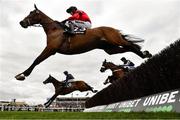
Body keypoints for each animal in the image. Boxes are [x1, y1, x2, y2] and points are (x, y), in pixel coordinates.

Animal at [15, 4, 152, 80]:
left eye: (32, 13)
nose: (22, 22)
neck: (54, 30)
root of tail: (113, 29)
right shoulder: (51, 49)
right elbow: (37, 60)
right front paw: (23, 73)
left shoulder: (51, 49)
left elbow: (37, 60)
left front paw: (23, 74)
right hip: (110, 49)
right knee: (129, 48)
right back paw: (144, 54)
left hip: (115, 40)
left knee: (131, 45)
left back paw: (145, 54)